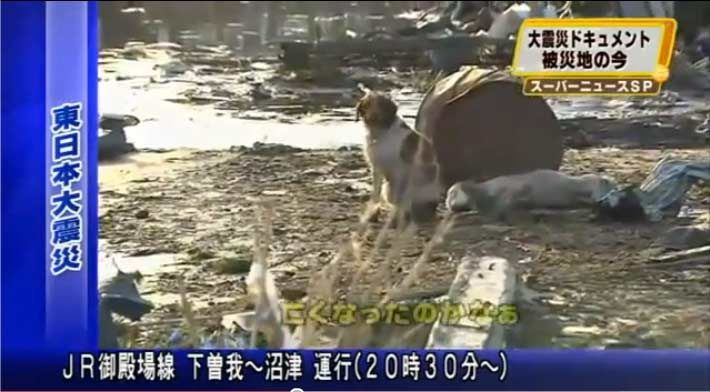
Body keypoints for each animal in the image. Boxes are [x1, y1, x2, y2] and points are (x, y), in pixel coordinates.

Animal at [358, 87, 442, 225]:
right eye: (367, 105)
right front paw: (372, 214)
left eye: (381, 105)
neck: (380, 132)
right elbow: (375, 194)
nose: (371, 117)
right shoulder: (377, 169)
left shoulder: (399, 170)